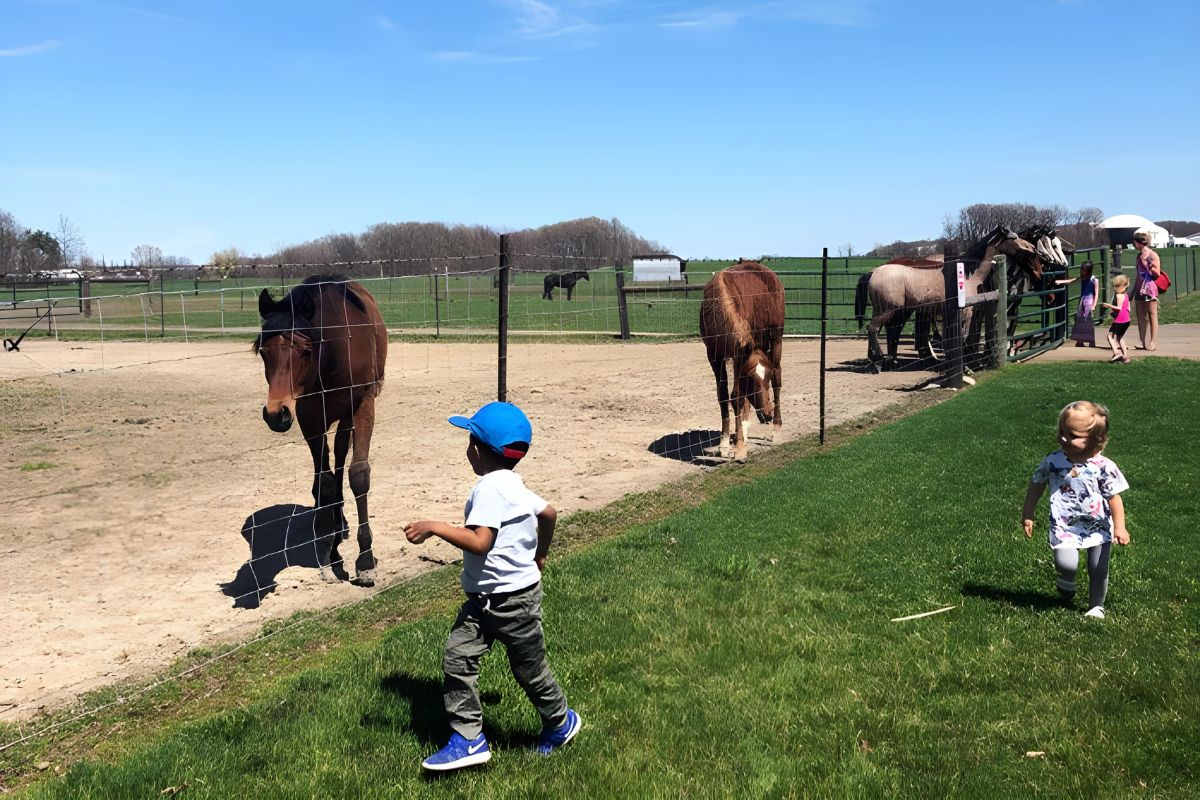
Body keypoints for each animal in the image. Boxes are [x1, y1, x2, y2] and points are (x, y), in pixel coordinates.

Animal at [253, 275, 388, 587]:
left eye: (305, 351)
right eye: (264, 352)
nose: (276, 414)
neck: (333, 356)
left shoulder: (362, 405)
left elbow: (358, 475)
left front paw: (365, 560)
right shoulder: (309, 415)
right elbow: (325, 482)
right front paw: (329, 551)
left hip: (346, 418)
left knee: (340, 458)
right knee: (326, 473)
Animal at [699, 261, 785, 461]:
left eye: (767, 377)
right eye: (751, 379)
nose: (768, 414)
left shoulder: (739, 357)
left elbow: (737, 397)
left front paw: (739, 448)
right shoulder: (714, 357)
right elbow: (725, 396)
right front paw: (724, 444)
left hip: (776, 338)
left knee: (778, 379)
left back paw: (776, 429)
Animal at [856, 227, 1043, 373]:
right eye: (1014, 238)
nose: (1033, 249)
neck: (968, 273)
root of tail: (873, 272)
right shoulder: (966, 313)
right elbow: (963, 338)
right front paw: (965, 367)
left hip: (896, 311)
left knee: (888, 331)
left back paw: (887, 361)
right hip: (887, 311)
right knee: (872, 329)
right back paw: (878, 361)